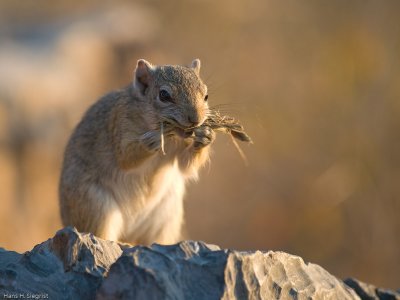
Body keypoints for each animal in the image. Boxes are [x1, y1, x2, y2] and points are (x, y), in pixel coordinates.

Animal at [58, 59, 214, 246]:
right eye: (164, 95)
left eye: (206, 95)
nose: (196, 119)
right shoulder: (120, 124)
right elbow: (126, 158)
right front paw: (153, 139)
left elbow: (186, 167)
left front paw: (205, 136)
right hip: (95, 206)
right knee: (100, 232)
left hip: (165, 216)